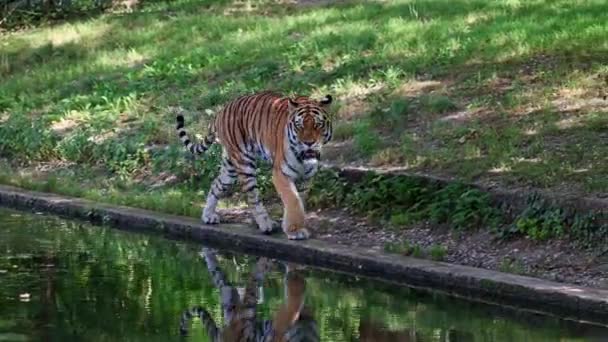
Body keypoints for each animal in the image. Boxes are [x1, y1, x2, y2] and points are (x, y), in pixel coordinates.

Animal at [173, 91, 334, 240]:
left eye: (318, 124)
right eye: (299, 126)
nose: (308, 143)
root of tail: (221, 110)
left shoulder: (307, 178)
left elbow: (299, 201)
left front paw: (293, 226)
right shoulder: (281, 174)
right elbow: (293, 200)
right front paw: (294, 231)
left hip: (229, 168)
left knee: (216, 184)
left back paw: (208, 216)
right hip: (244, 162)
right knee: (252, 197)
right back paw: (265, 224)